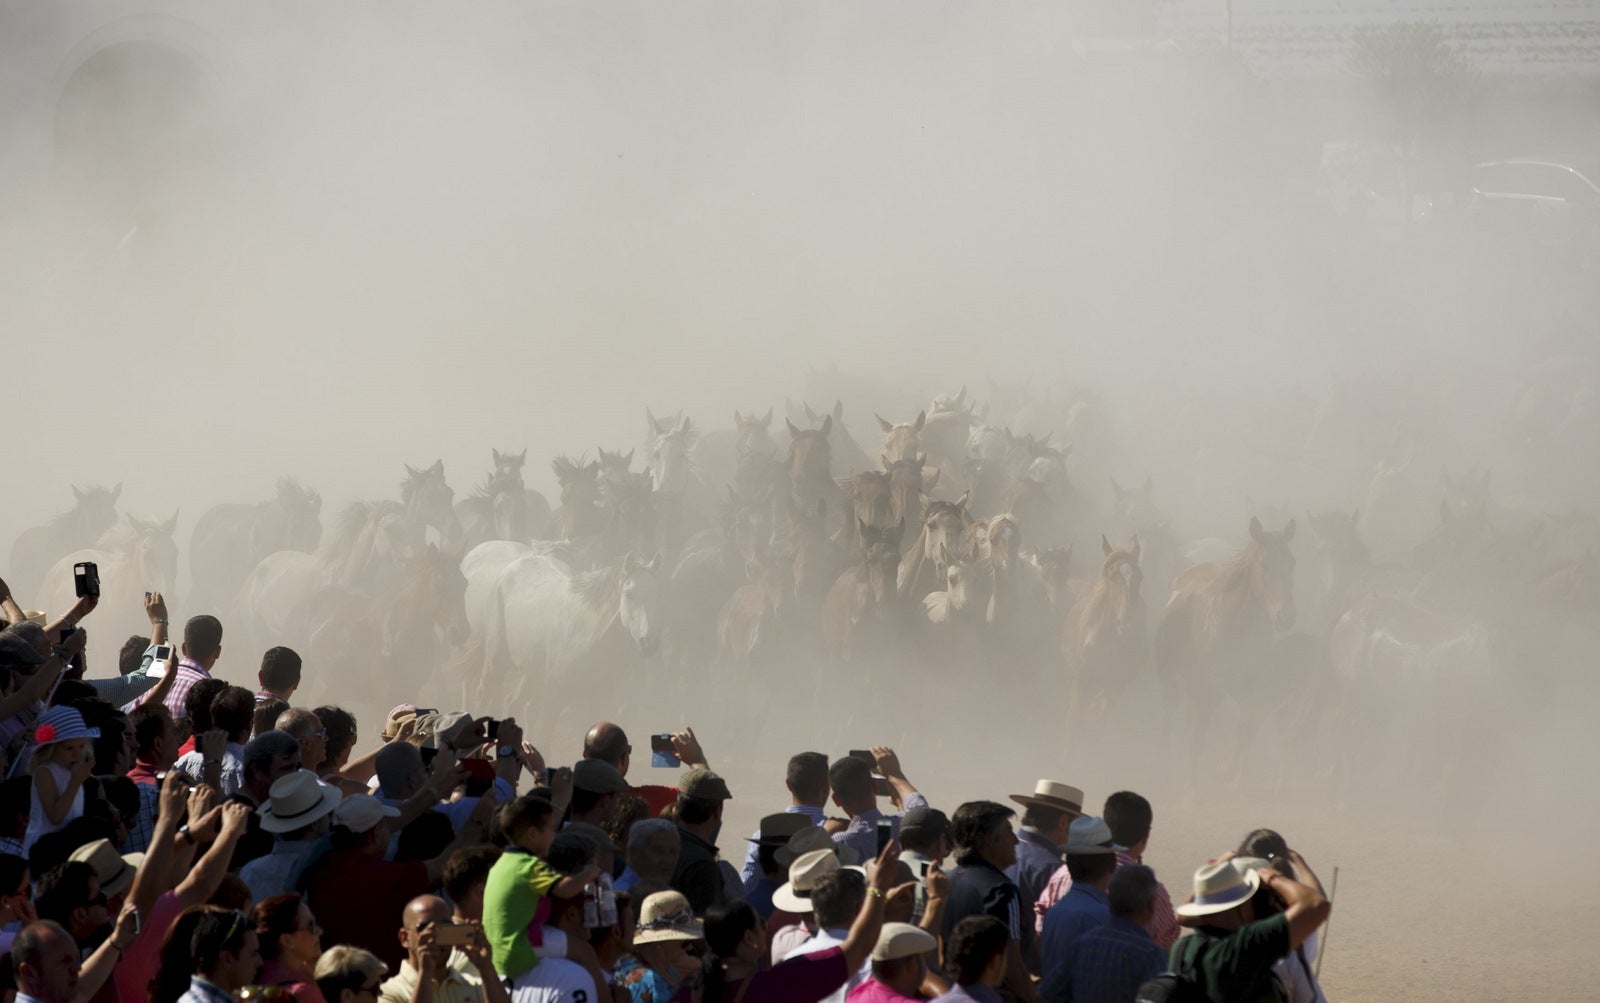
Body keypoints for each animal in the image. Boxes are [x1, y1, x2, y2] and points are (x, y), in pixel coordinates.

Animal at [483, 550, 665, 729]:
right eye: (629, 594)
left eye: (658, 595)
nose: (648, 643)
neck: (585, 635)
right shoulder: (553, 698)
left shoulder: (599, 699)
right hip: (496, 663)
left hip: (531, 673)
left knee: (513, 704)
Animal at [1062, 534, 1152, 745]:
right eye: (1112, 577)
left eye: (1140, 578)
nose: (1126, 625)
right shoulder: (1080, 681)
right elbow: (1073, 725)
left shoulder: (1114, 688)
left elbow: (1096, 723)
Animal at [1164, 518, 1299, 777]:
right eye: (1263, 565)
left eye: (1292, 563)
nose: (1285, 616)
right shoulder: (1207, 687)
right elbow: (1198, 739)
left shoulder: (1251, 687)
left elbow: (1247, 729)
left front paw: (1230, 771)